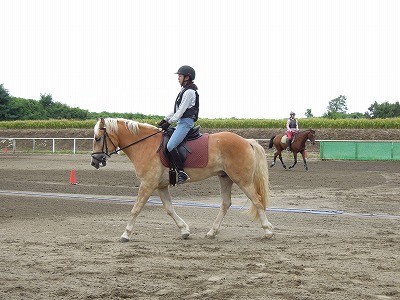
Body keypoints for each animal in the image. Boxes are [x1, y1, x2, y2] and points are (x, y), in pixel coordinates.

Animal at [90, 117, 274, 241]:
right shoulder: (160, 186)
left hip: (242, 180)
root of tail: (246, 141)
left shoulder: (147, 185)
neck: (145, 145)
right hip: (225, 178)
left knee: (257, 201)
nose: (94, 162)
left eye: (98, 138)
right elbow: (169, 209)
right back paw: (212, 232)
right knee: (225, 204)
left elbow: (136, 209)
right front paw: (184, 230)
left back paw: (267, 231)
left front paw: (125, 234)